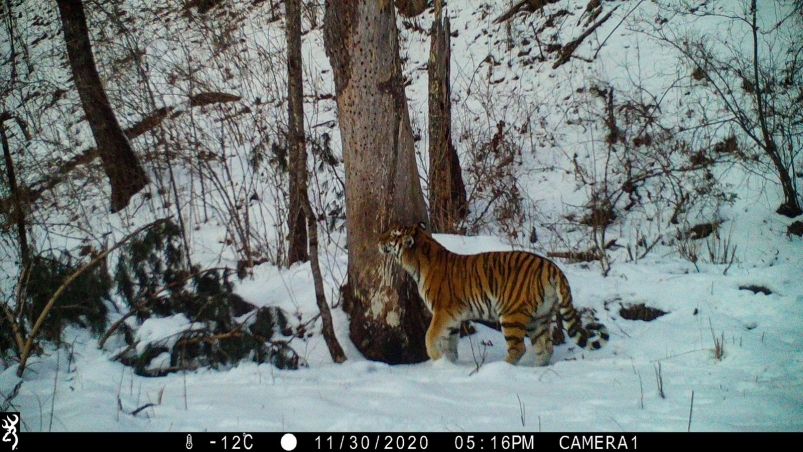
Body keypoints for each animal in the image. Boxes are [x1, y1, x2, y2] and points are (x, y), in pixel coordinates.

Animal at [378, 223, 608, 368]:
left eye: (393, 234)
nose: (379, 239)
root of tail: (553, 267)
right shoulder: (453, 318)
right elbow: (450, 343)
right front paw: (449, 364)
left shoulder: (443, 312)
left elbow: (430, 335)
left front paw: (436, 360)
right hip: (540, 317)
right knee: (545, 348)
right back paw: (535, 369)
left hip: (511, 314)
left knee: (518, 348)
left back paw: (501, 369)